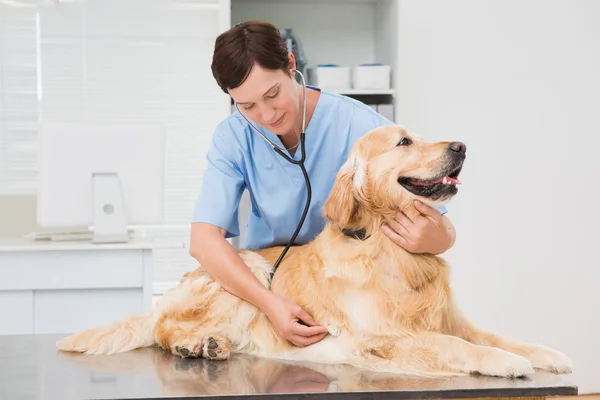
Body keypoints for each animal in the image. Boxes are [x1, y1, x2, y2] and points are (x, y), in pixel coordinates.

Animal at [55, 125, 572, 378]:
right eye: (405, 141)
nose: (462, 147)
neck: (387, 247)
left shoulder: (453, 319)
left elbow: (494, 336)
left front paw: (546, 353)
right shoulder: (381, 336)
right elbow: (456, 346)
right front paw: (505, 364)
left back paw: (211, 344)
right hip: (247, 269)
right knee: (164, 329)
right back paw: (195, 342)